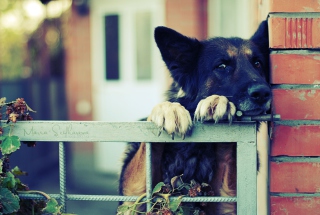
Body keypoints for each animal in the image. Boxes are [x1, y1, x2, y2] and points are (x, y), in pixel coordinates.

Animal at [119, 20, 272, 215]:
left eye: (258, 63)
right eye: (222, 66)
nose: (263, 93)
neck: (194, 150)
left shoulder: (226, 201)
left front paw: (218, 102)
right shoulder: (132, 199)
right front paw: (168, 109)